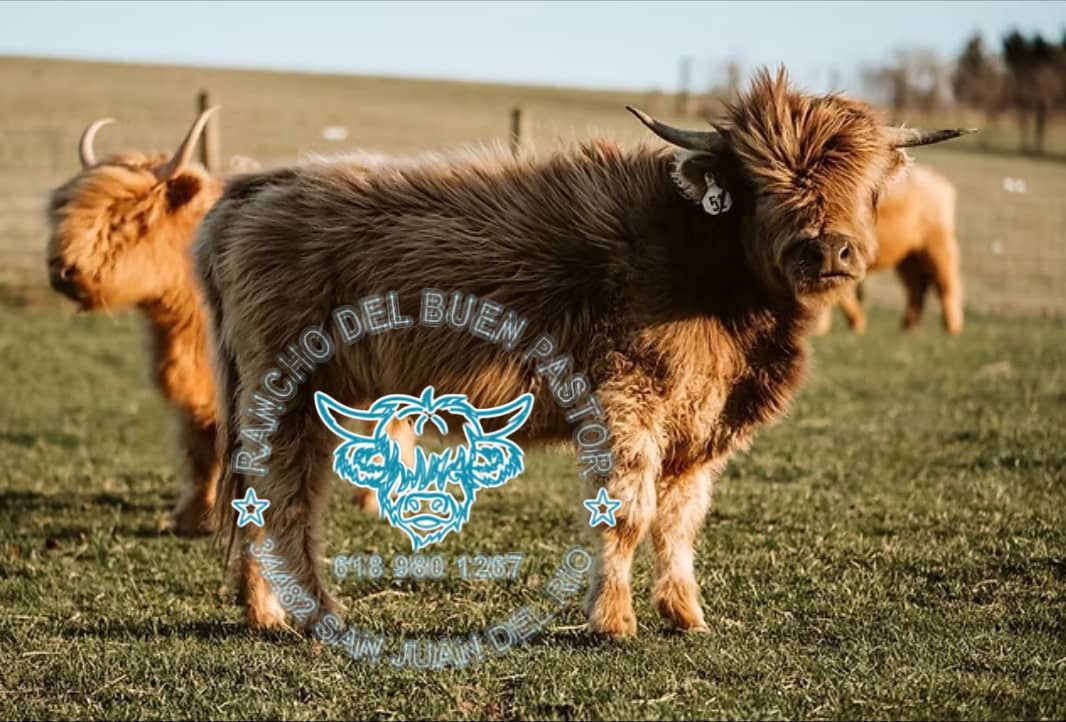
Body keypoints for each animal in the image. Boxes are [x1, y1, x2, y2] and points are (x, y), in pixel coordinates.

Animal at [815, 164, 963, 334]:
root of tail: (939, 180)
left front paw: (854, 325)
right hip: (908, 254)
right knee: (916, 286)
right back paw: (908, 326)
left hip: (936, 244)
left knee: (946, 283)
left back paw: (952, 328)